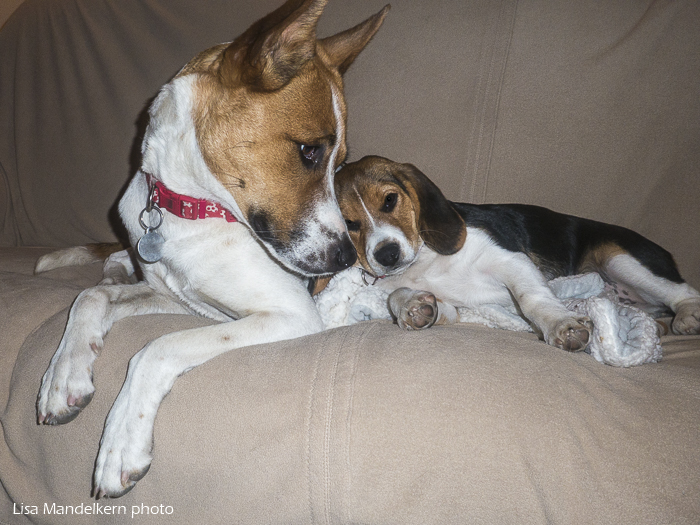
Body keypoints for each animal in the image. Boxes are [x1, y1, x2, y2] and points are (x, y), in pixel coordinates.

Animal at [34, 0, 388, 498]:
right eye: (309, 151)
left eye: (340, 163)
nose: (345, 260)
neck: (194, 210)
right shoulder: (177, 298)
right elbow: (89, 296)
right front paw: (64, 373)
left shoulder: (289, 315)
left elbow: (156, 347)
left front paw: (122, 442)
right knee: (108, 270)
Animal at [334, 156, 700, 350]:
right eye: (349, 223)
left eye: (389, 200)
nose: (387, 255)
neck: (425, 262)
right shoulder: (458, 306)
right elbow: (401, 297)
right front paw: (412, 307)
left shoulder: (510, 260)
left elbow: (531, 298)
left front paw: (560, 324)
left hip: (618, 257)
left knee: (684, 292)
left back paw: (686, 317)